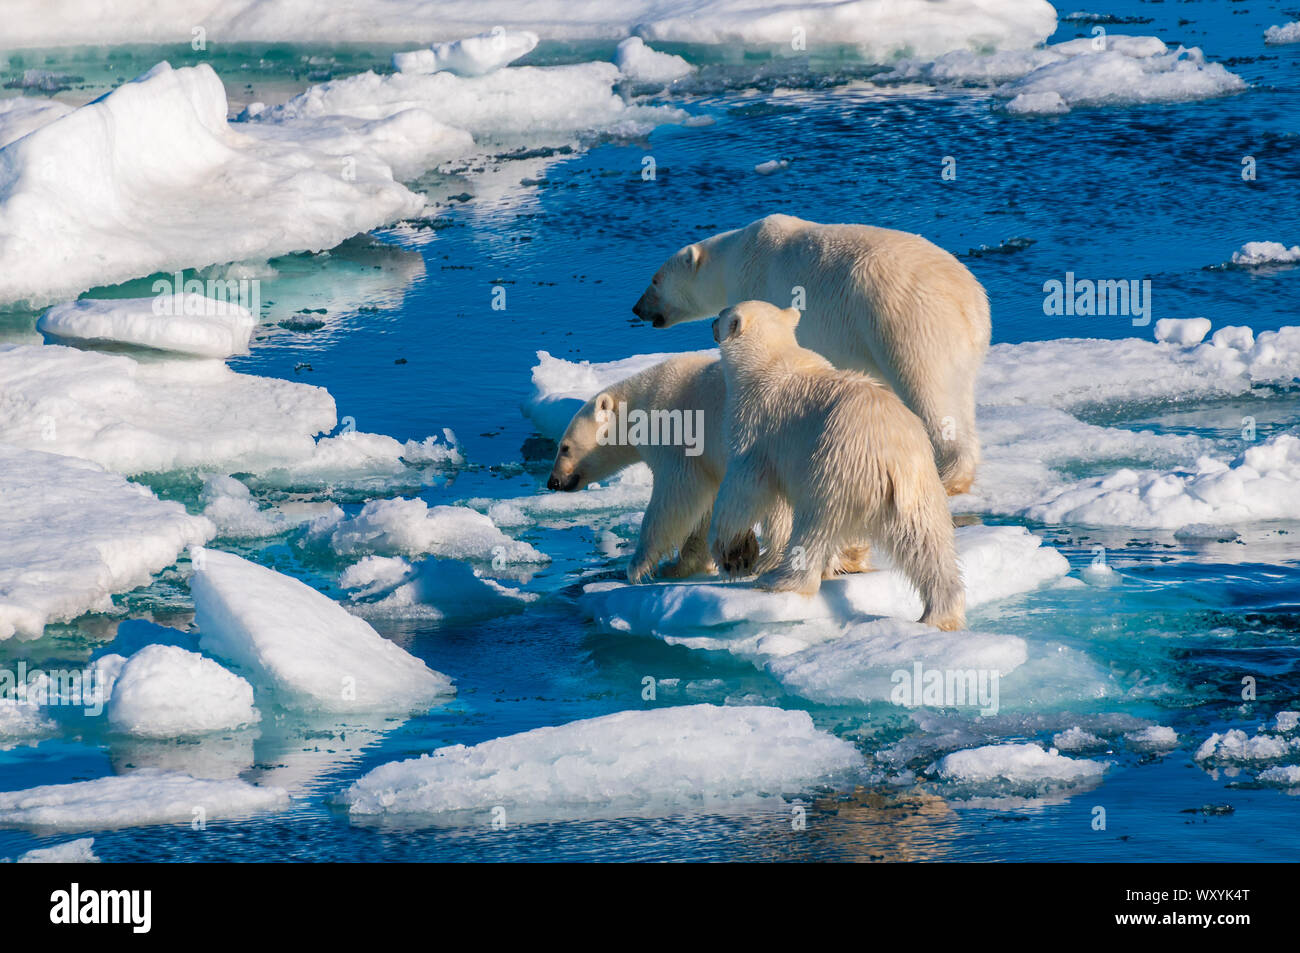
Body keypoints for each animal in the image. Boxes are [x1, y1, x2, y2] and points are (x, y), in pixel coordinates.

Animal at [545, 353, 869, 584]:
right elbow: (705, 507)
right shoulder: (710, 461)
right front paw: (682, 566)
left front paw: (638, 566)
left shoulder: (677, 438)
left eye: (565, 447)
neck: (642, 403)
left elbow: (675, 497)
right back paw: (849, 557)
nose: (553, 482)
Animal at [631, 213, 990, 496]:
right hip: (963, 343)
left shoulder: (755, 286)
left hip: (905, 321)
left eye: (654, 280)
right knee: (958, 392)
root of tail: (968, 297)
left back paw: (950, 477)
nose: (637, 308)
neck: (733, 256)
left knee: (928, 389)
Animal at [708, 300, 966, 632]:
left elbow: (745, 488)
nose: (711, 324)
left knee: (815, 523)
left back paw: (782, 579)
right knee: (927, 542)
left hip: (835, 463)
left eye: (721, 314)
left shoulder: (757, 427)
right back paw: (939, 613)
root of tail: (893, 457)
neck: (770, 361)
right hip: (920, 486)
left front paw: (737, 556)